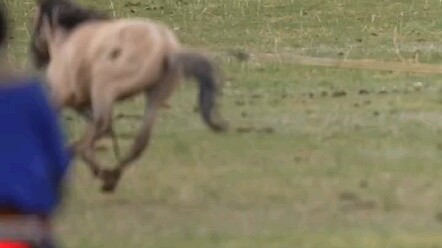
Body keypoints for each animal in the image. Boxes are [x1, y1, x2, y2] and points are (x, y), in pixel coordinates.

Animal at [30, 0, 228, 193]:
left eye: (37, 23)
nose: (36, 58)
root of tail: (164, 46)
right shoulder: (80, 102)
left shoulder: (60, 97)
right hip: (154, 96)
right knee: (139, 140)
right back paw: (111, 175)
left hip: (106, 87)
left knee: (102, 127)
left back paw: (102, 173)